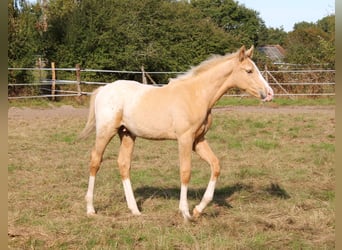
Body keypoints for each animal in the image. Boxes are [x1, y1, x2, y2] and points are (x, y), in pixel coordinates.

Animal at [79, 45, 272, 221]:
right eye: (249, 71)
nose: (269, 93)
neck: (197, 94)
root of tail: (103, 90)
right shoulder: (184, 138)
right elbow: (185, 171)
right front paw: (185, 212)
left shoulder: (198, 140)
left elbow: (215, 165)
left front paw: (198, 210)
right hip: (106, 131)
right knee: (95, 161)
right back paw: (90, 209)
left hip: (127, 134)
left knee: (123, 164)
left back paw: (135, 210)